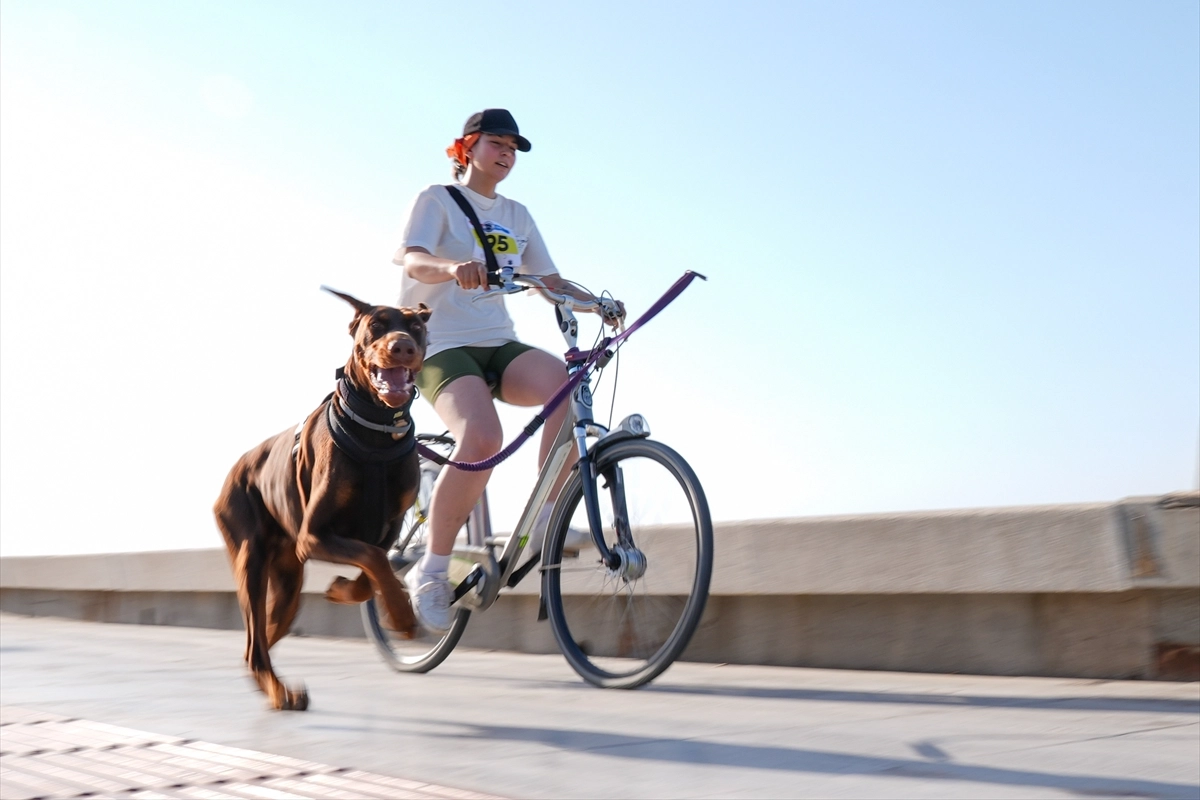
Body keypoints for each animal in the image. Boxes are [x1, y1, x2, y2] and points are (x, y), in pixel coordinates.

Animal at [217, 289, 432, 714]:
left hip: (287, 584)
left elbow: (373, 571)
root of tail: (234, 471)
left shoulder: (390, 527)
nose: (402, 346)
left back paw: (274, 687)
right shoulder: (313, 536)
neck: (377, 431)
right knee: (255, 643)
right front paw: (401, 616)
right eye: (376, 325)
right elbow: (374, 558)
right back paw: (279, 692)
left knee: (260, 638)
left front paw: (345, 591)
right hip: (251, 556)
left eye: (415, 325)